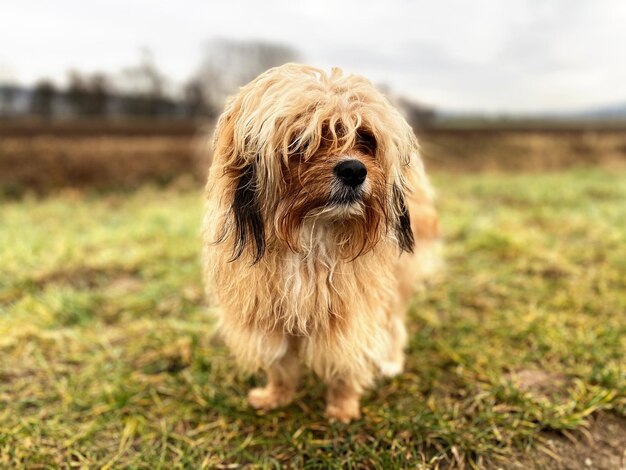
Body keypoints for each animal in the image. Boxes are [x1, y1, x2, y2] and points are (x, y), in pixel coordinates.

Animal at [202, 63, 436, 422]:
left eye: (365, 138)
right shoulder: (264, 313)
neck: (311, 232)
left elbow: (346, 360)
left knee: (393, 322)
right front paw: (276, 395)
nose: (354, 170)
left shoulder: (352, 312)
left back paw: (391, 361)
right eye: (302, 140)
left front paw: (342, 406)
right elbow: (280, 363)